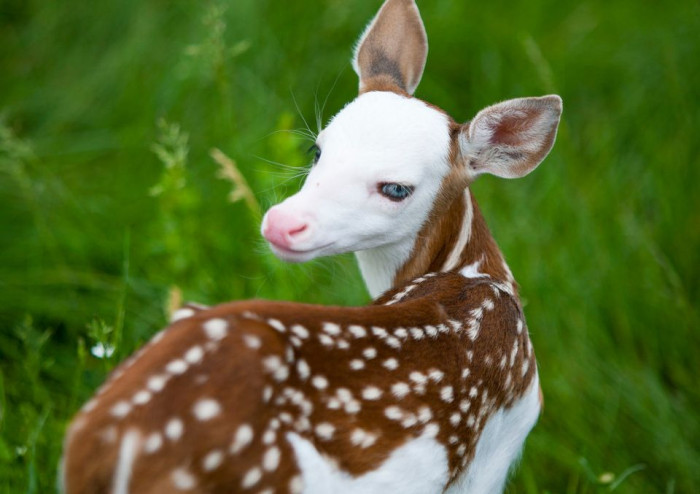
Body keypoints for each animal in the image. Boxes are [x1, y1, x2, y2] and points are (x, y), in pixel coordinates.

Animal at [61, 0, 564, 494]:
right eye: (317, 150)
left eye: (396, 188)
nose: (282, 224)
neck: (478, 276)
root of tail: (108, 446)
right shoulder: (491, 458)